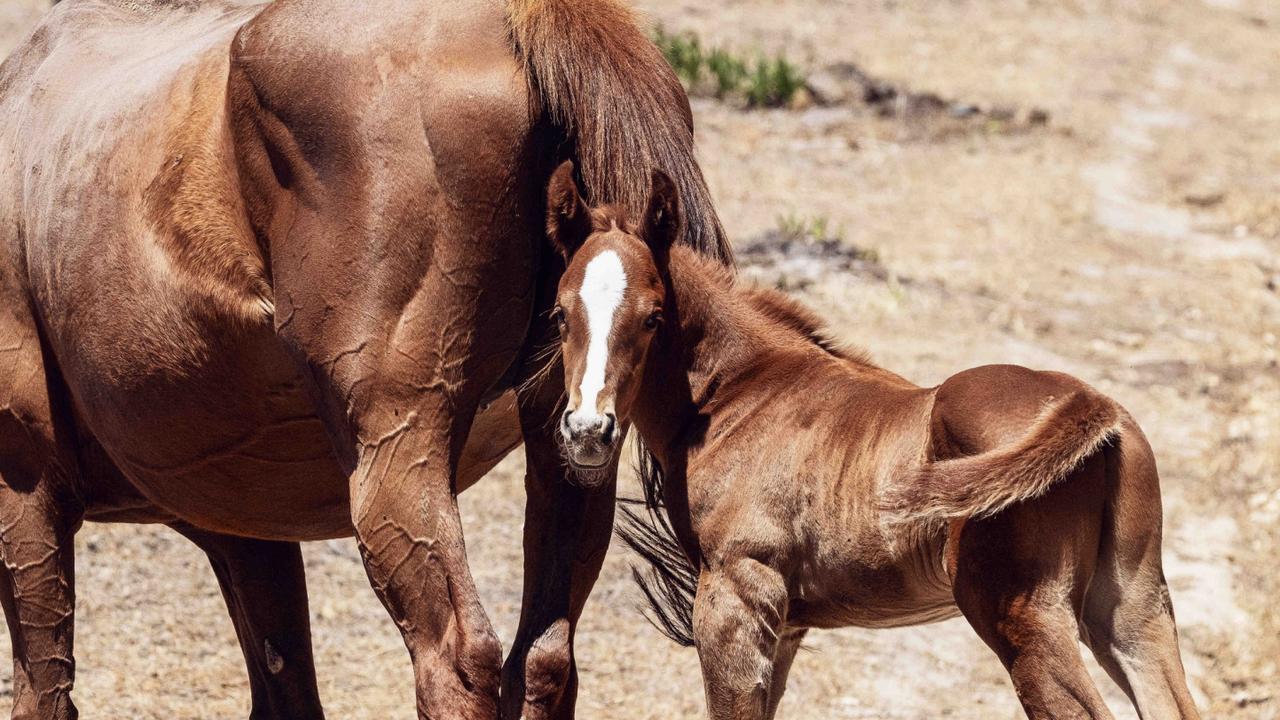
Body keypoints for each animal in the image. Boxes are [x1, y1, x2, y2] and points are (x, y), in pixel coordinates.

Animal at [0, 1, 732, 717]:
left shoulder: (28, 492)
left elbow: (45, 693)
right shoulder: (245, 526)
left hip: (397, 458)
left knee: (457, 659)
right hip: (571, 450)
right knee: (544, 660)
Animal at [545, 162, 1203, 717]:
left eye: (653, 317)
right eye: (559, 314)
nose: (587, 431)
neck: (739, 393)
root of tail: (1088, 403)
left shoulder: (735, 597)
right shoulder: (786, 622)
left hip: (1023, 614)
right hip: (1133, 611)